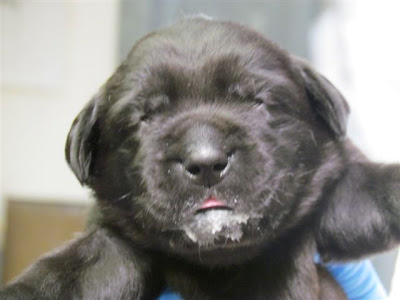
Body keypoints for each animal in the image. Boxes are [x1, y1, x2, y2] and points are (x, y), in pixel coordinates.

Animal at [0, 17, 400, 300]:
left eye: (256, 101)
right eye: (145, 117)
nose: (206, 161)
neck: (223, 262)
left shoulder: (332, 199)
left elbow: (365, 192)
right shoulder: (117, 238)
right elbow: (77, 268)